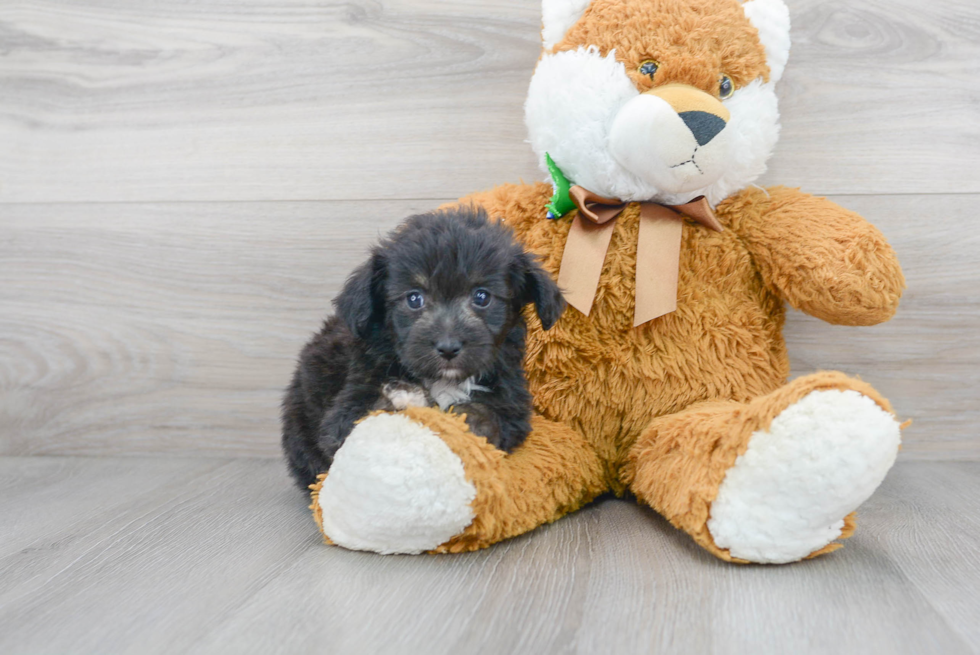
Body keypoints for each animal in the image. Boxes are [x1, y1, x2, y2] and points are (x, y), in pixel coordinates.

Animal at [280, 208, 564, 490]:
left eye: (482, 297)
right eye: (414, 298)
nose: (448, 348)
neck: (442, 380)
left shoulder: (513, 408)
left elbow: (488, 415)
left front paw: (466, 422)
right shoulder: (344, 413)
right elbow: (369, 414)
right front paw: (404, 396)